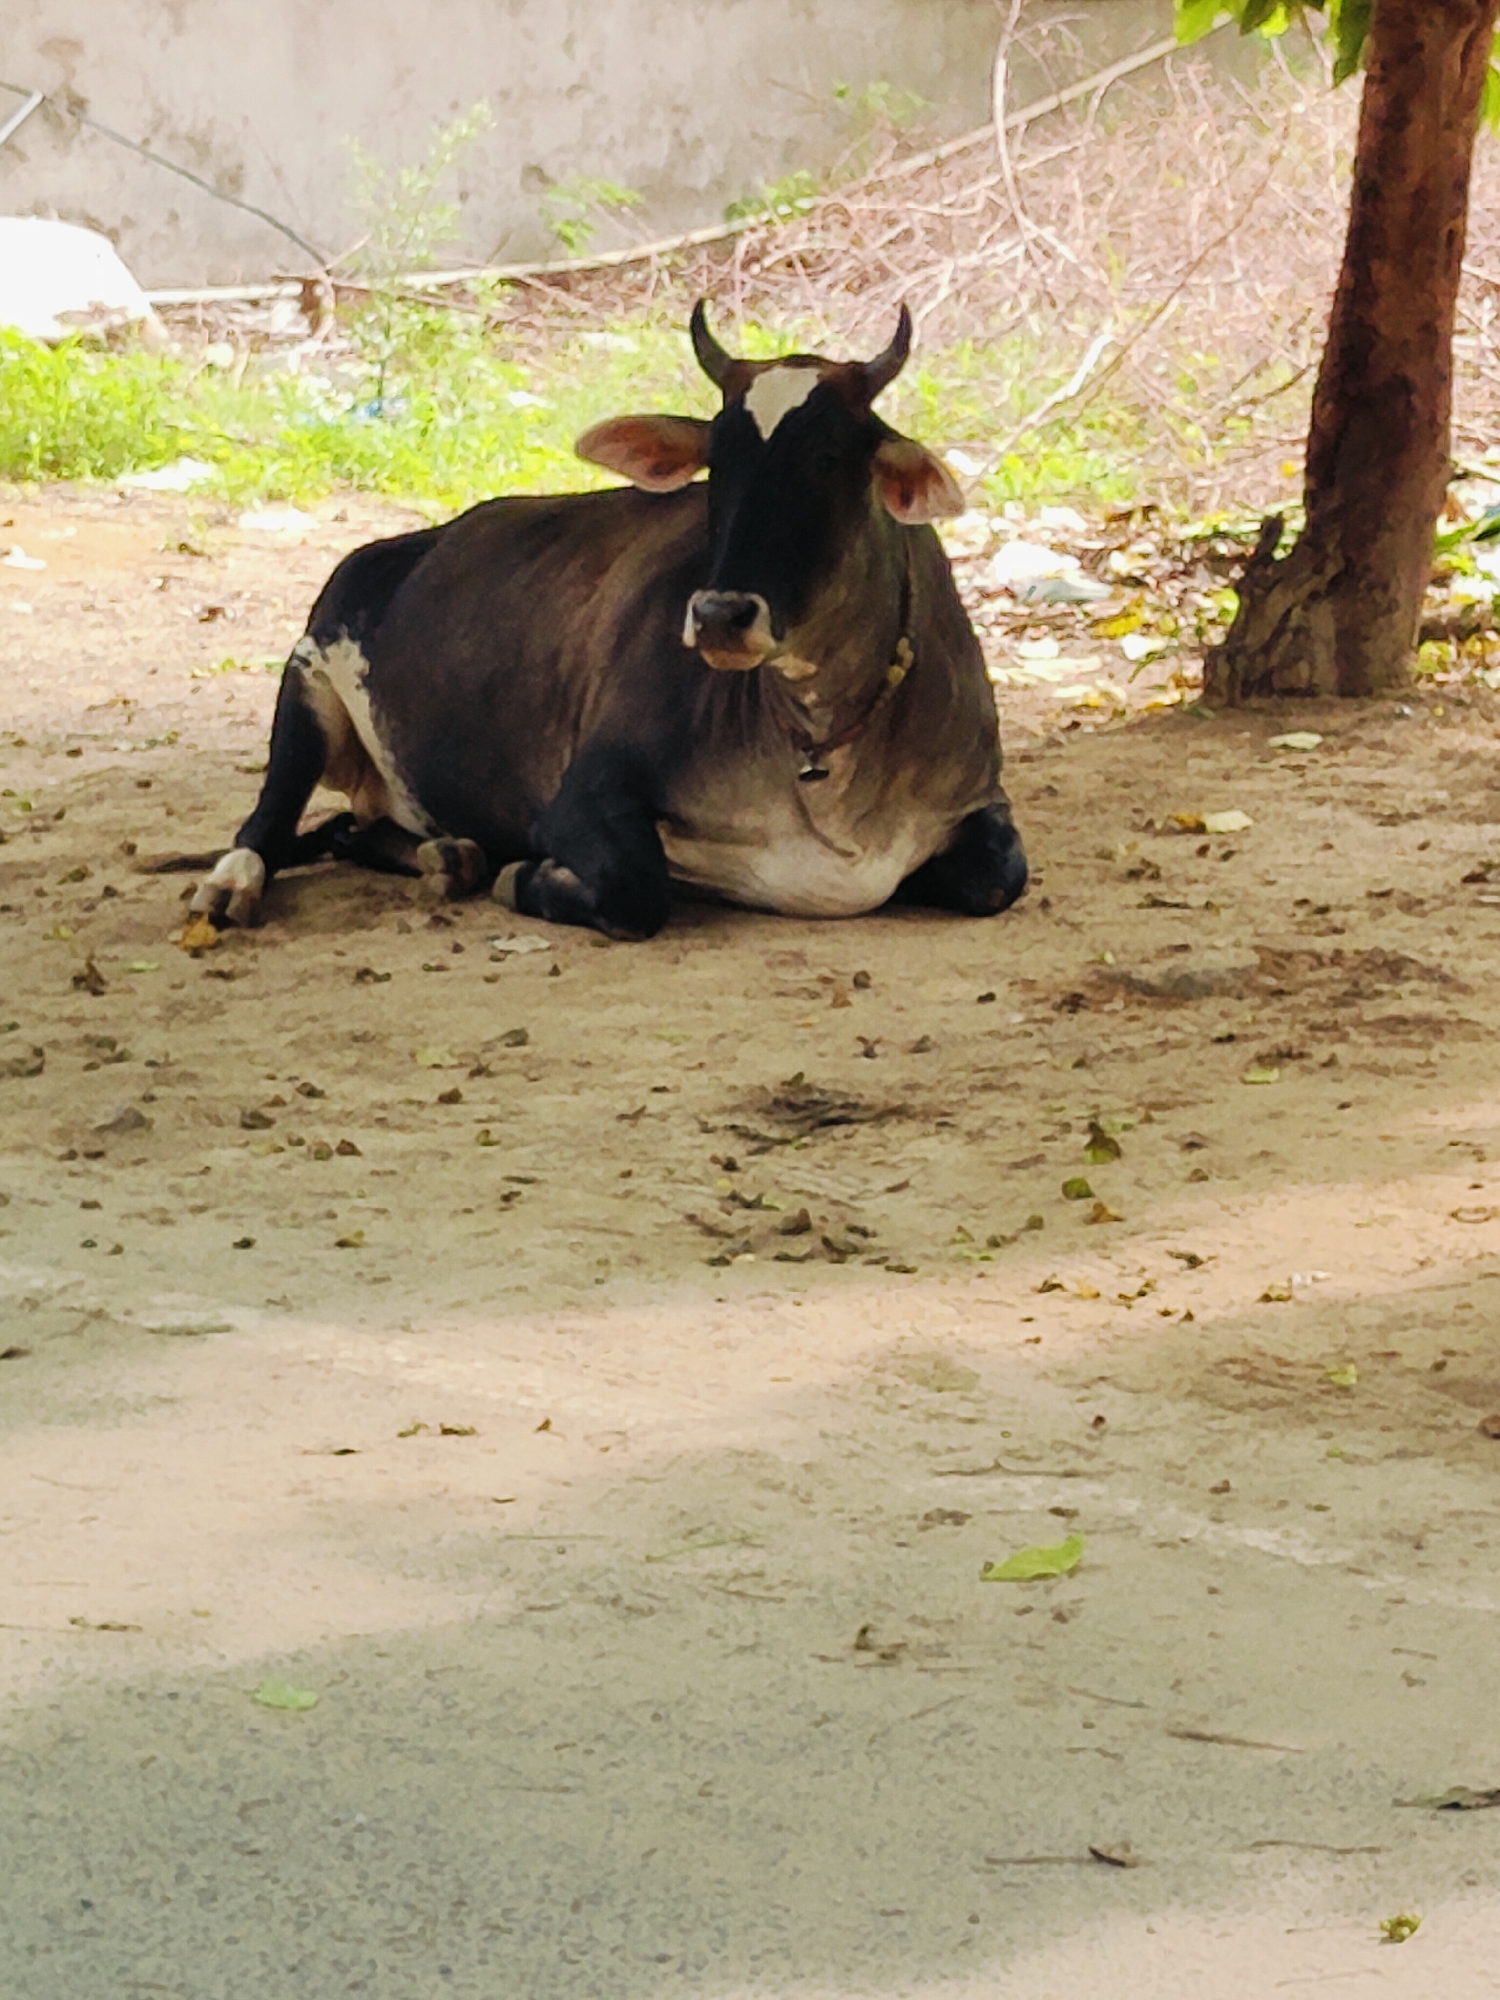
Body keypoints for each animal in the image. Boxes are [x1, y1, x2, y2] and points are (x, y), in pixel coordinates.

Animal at [190, 303, 1027, 941]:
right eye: (718, 461)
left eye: (827, 458)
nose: (720, 614)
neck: (818, 743)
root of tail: (398, 546)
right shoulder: (581, 796)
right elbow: (634, 889)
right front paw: (521, 877)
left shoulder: (980, 800)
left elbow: (999, 879)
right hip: (306, 679)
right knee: (269, 820)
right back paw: (234, 886)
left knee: (347, 830)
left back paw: (449, 856)